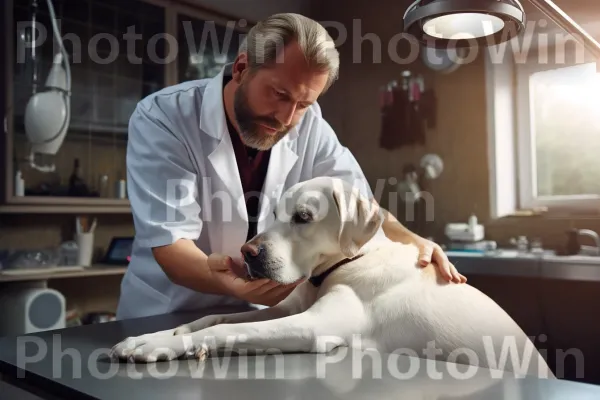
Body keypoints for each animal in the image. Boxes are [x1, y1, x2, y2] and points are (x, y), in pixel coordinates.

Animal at [111, 177, 552, 378]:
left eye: (303, 217)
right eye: (274, 214)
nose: (248, 253)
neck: (342, 266)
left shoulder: (314, 326)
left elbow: (223, 330)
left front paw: (161, 347)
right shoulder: (287, 308)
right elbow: (211, 318)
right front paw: (155, 336)